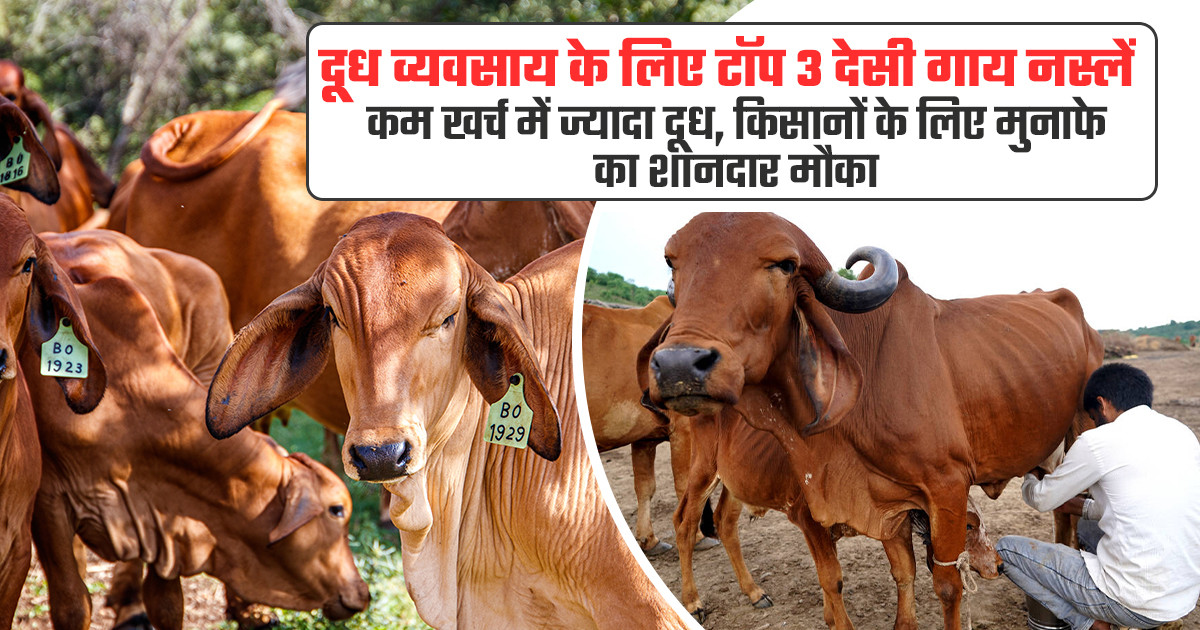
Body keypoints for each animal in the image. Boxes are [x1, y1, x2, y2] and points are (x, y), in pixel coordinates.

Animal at [23, 229, 370, 630]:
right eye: (336, 510)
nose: (362, 593)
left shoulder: (169, 517)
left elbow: (168, 604)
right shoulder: (49, 501)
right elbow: (71, 603)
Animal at [640, 212, 1102, 630]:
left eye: (785, 264)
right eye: (673, 264)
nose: (678, 364)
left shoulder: (945, 487)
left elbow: (945, 584)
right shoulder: (878, 501)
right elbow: (888, 574)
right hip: (708, 468)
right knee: (695, 521)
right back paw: (706, 599)